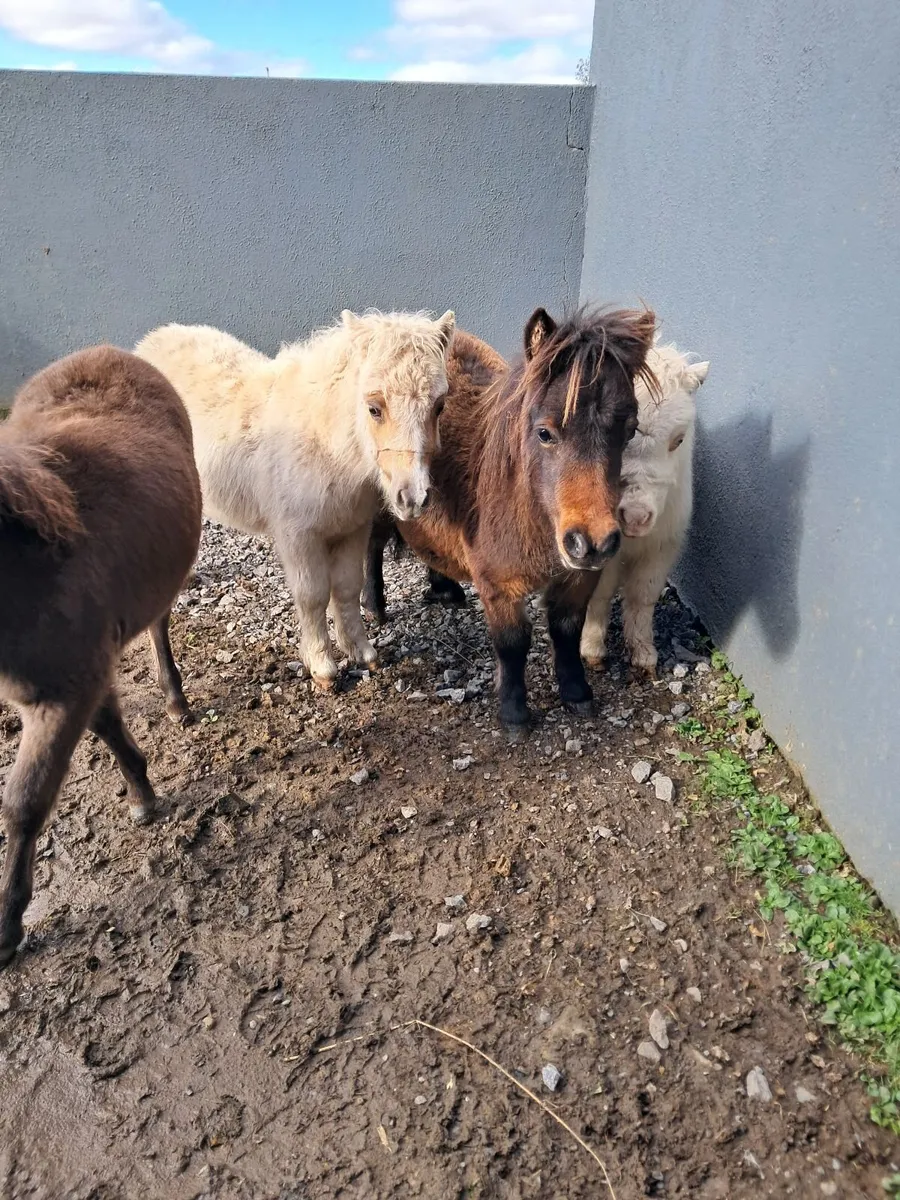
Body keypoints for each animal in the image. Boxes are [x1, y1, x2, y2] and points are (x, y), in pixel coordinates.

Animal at [0, 346, 202, 966]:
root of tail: (109, 352)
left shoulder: (64, 690)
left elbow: (24, 801)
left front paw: (7, 927)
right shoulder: (74, 680)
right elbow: (108, 723)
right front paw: (141, 789)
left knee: (160, 623)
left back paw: (176, 699)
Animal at [136, 309, 455, 688]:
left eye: (439, 406)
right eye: (374, 408)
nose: (412, 498)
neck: (326, 446)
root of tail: (147, 343)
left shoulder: (352, 529)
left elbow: (347, 588)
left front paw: (361, 652)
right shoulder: (298, 536)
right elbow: (313, 596)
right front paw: (322, 668)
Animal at [392, 307, 657, 735]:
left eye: (629, 430)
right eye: (544, 432)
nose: (593, 543)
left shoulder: (578, 578)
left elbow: (567, 631)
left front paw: (576, 693)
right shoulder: (498, 587)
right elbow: (513, 645)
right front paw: (514, 712)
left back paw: (445, 590)